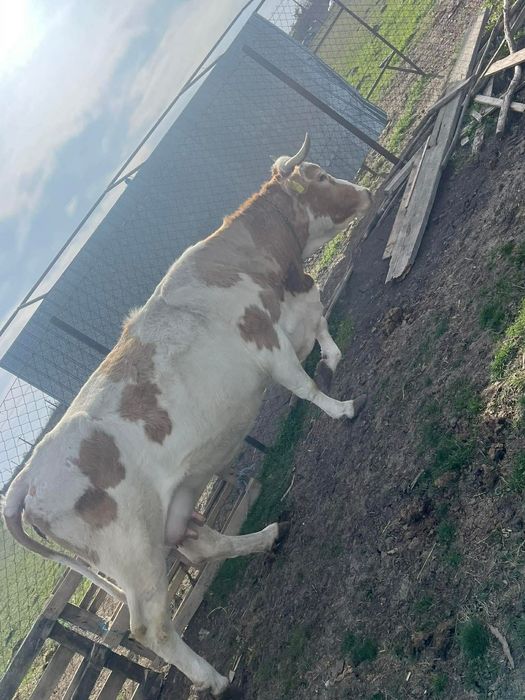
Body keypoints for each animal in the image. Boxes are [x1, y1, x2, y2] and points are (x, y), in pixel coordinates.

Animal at [2, 134, 370, 697]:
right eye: (321, 176)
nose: (366, 192)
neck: (258, 267)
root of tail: (25, 478)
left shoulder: (297, 303)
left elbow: (322, 325)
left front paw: (331, 356)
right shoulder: (263, 339)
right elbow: (302, 384)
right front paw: (339, 408)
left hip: (169, 518)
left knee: (202, 546)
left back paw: (266, 537)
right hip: (134, 555)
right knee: (149, 626)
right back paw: (214, 678)